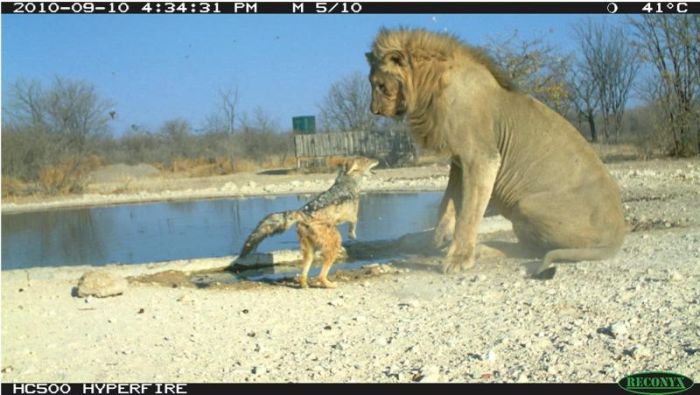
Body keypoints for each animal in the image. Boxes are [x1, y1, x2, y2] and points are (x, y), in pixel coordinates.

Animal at [366, 28, 624, 278]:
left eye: (380, 85)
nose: (373, 110)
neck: (428, 88)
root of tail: (618, 236)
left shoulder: (481, 158)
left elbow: (468, 214)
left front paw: (458, 259)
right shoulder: (459, 162)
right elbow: (446, 205)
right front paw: (433, 241)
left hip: (525, 205)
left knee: (530, 249)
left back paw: (482, 250)